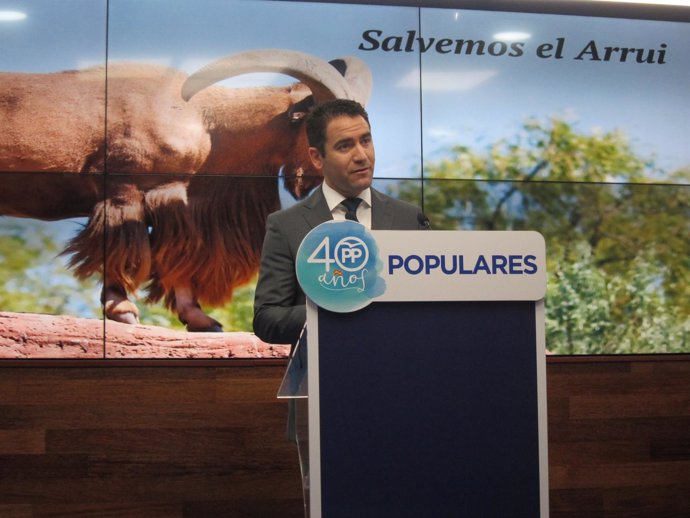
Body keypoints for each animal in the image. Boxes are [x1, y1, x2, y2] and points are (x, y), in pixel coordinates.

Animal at [0, 49, 370, 334]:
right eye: (322, 128)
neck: (204, 120)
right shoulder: (123, 191)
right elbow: (124, 250)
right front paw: (122, 309)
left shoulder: (179, 206)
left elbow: (175, 257)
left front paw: (201, 319)